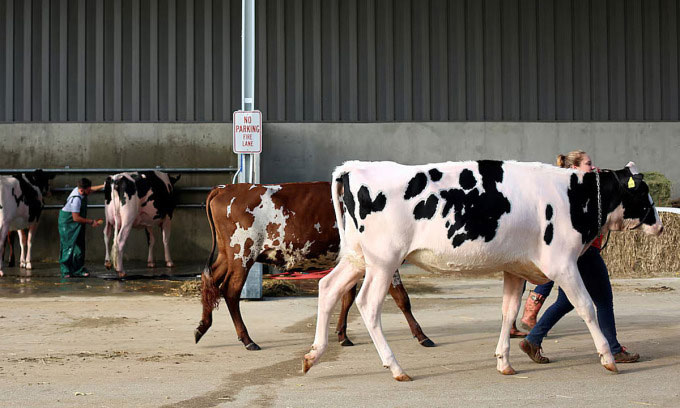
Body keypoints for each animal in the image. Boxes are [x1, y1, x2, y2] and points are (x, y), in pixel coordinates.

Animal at [196, 182, 434, 350]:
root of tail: (224, 188)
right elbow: (402, 298)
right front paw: (422, 336)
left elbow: (348, 297)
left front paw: (342, 335)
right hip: (242, 254)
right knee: (230, 291)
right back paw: (247, 339)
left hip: (227, 255)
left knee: (210, 279)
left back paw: (203, 326)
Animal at [302, 160, 663, 381]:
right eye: (644, 192)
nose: (660, 225)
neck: (575, 196)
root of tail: (355, 167)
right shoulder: (562, 263)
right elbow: (587, 307)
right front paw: (608, 358)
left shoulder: (516, 267)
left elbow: (508, 312)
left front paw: (504, 362)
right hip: (383, 260)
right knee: (367, 304)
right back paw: (395, 367)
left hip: (357, 258)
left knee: (328, 288)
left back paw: (313, 355)